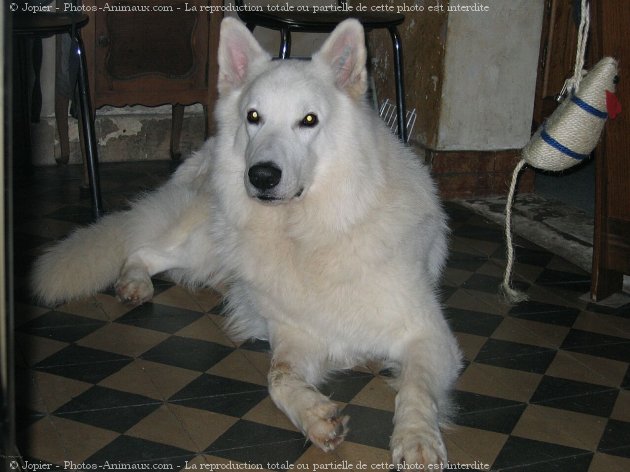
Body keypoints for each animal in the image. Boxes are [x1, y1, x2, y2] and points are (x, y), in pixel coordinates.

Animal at [30, 17, 464, 464]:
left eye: (309, 120)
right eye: (254, 116)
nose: (261, 176)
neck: (310, 233)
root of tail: (205, 149)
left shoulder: (429, 336)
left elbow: (414, 388)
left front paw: (417, 439)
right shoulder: (295, 334)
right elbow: (278, 377)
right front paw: (315, 417)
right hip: (206, 242)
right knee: (143, 250)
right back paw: (134, 282)